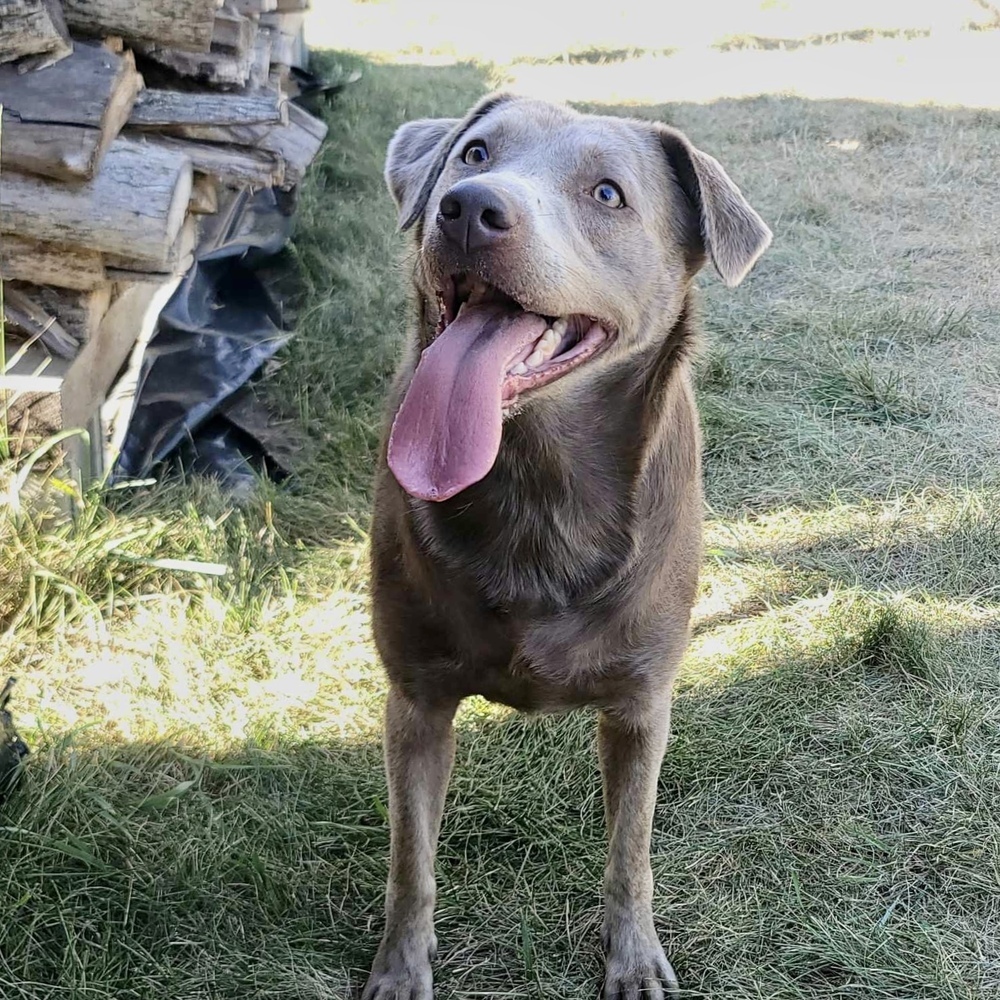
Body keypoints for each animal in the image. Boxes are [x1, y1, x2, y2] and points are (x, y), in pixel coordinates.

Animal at [364, 94, 768, 1000]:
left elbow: (630, 853)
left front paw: (634, 956)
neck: (535, 484)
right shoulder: (415, 703)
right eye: (475, 152)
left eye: (608, 194)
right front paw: (401, 967)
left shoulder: (641, 707)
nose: (468, 208)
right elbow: (412, 860)